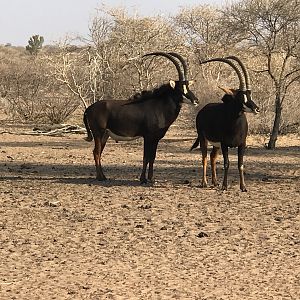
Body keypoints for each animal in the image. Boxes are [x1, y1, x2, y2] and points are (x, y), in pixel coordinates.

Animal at [83, 51, 198, 183]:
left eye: (188, 86)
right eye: (180, 89)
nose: (196, 100)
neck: (159, 105)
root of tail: (88, 109)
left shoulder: (156, 138)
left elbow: (152, 158)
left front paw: (151, 178)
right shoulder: (147, 137)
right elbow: (145, 158)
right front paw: (143, 179)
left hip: (105, 135)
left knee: (98, 152)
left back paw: (103, 176)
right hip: (98, 133)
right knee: (96, 152)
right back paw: (100, 177)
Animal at [191, 57, 258, 191]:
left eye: (250, 95)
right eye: (241, 97)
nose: (256, 108)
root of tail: (202, 110)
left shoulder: (242, 144)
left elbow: (240, 164)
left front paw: (243, 187)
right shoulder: (224, 144)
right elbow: (226, 163)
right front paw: (224, 186)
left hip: (216, 145)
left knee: (212, 157)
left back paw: (215, 182)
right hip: (204, 139)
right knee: (204, 157)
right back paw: (204, 182)